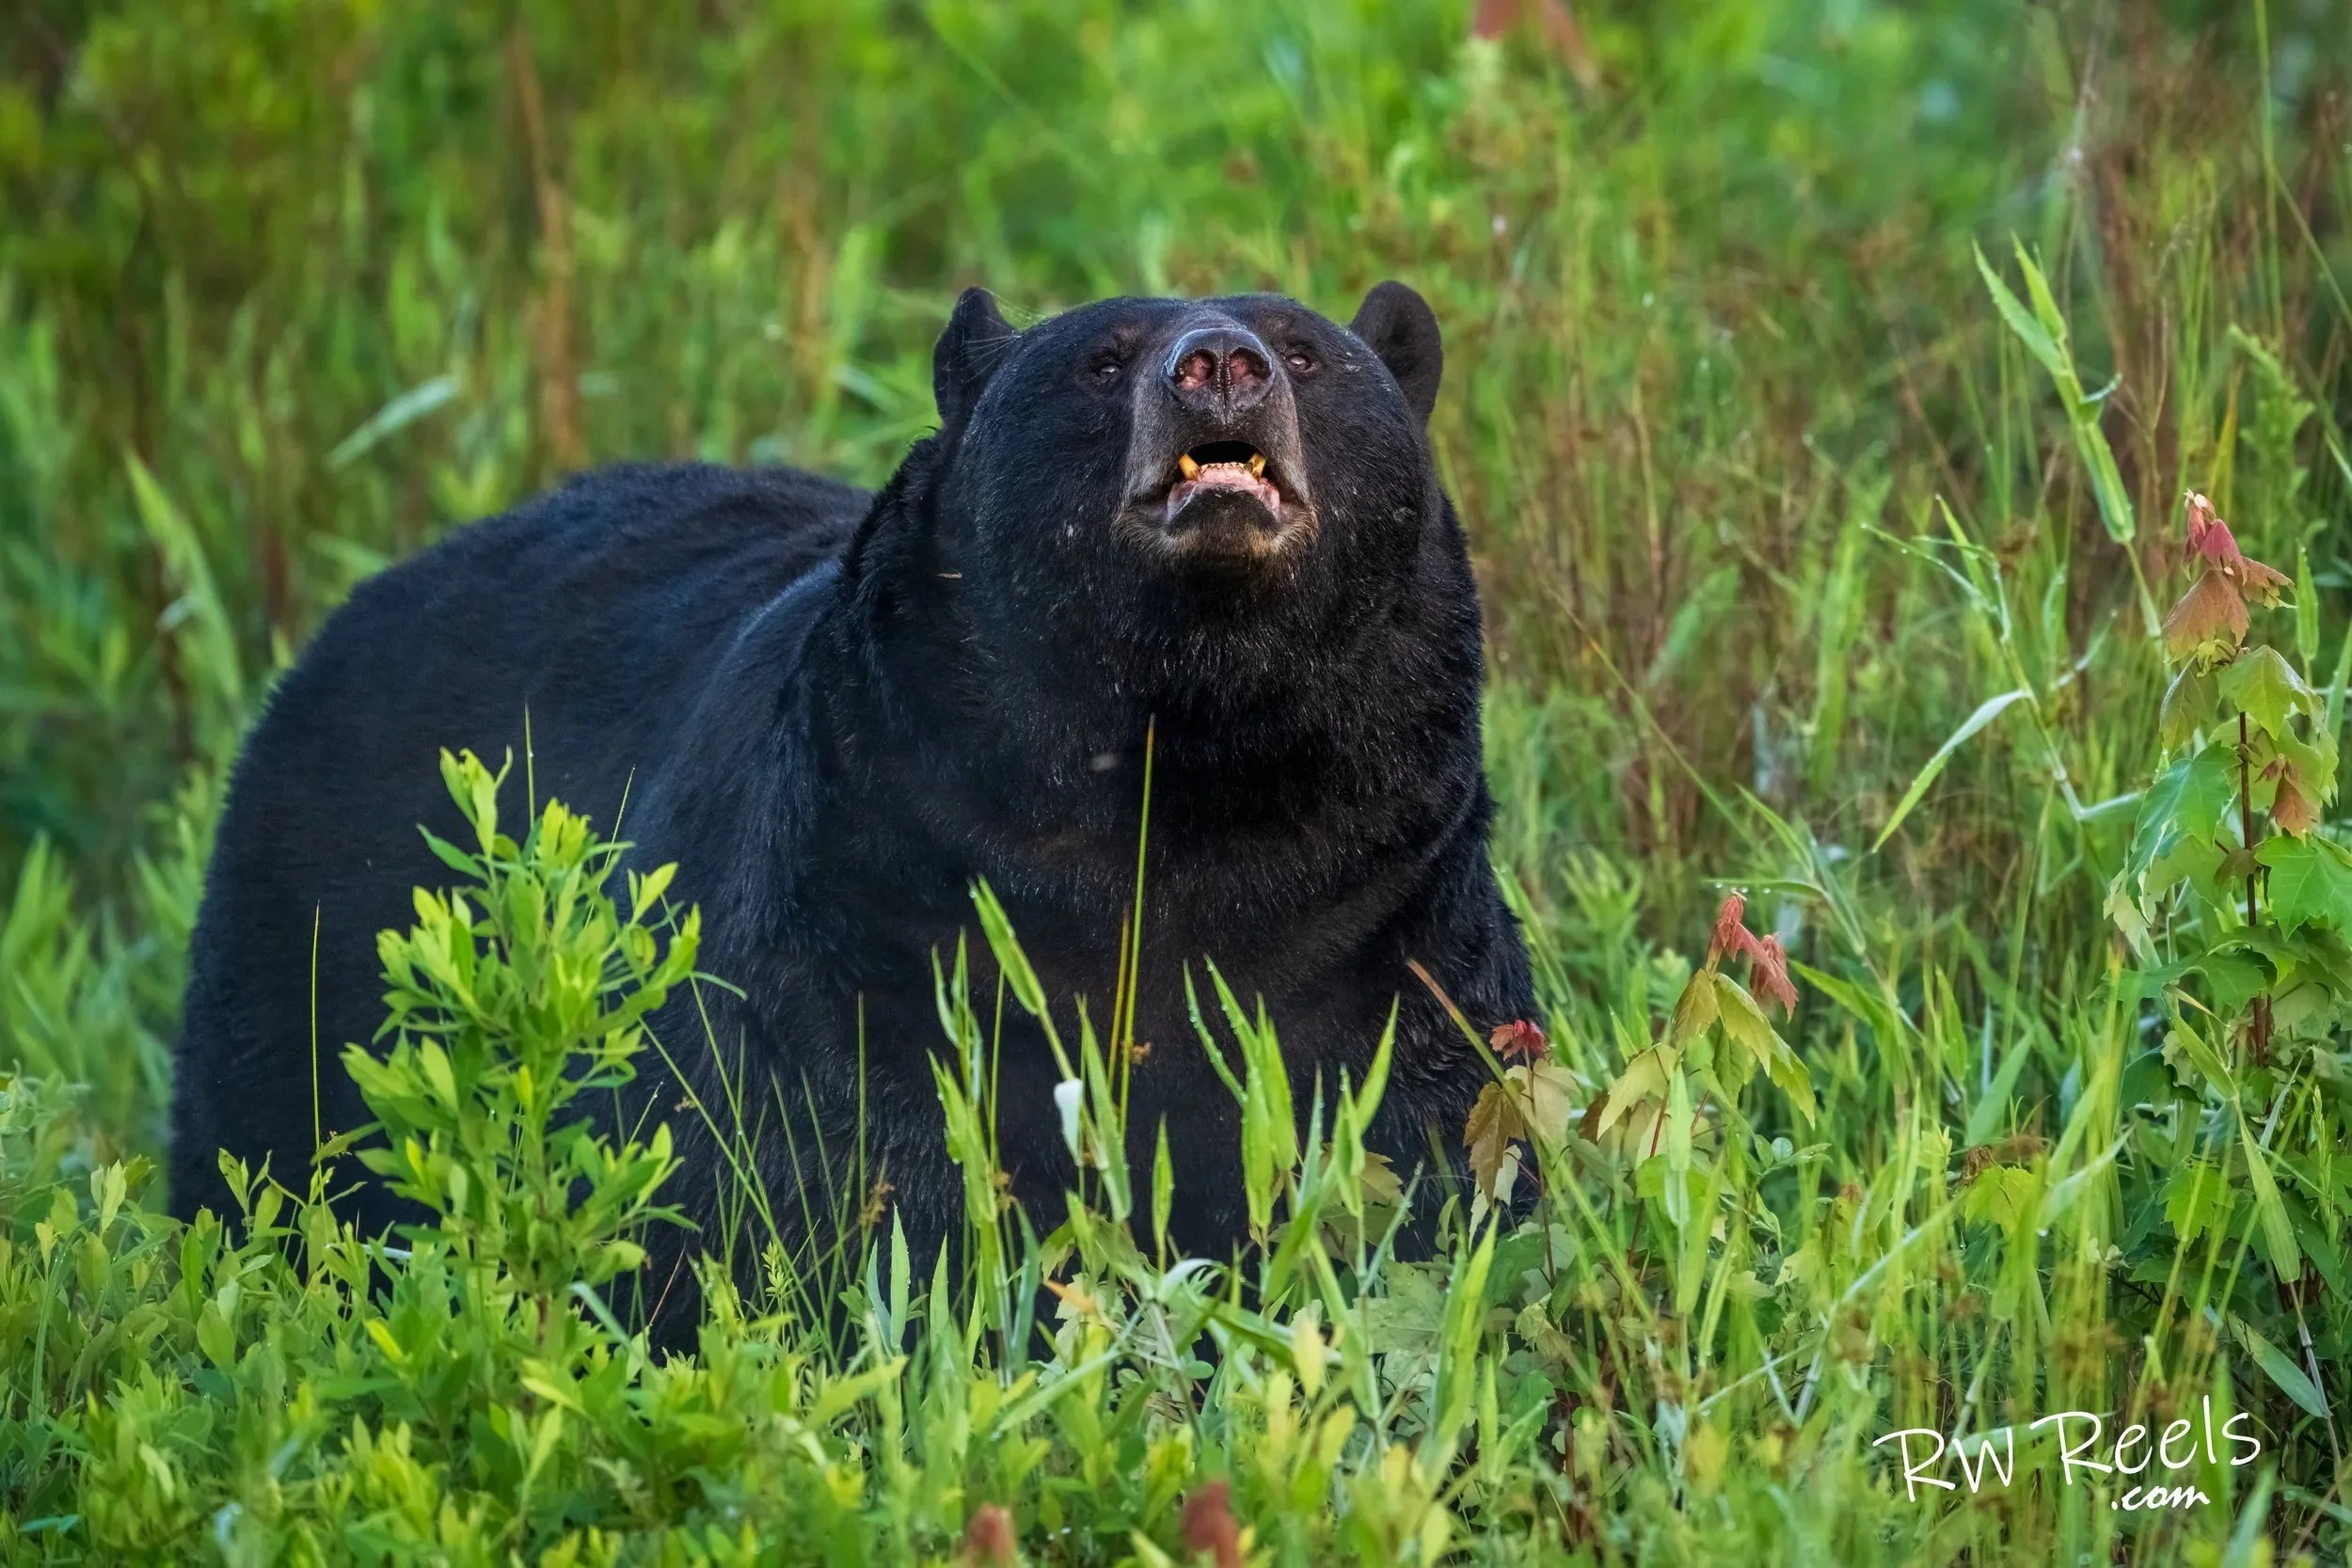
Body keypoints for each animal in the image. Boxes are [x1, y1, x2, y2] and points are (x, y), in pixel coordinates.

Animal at [169, 282, 1537, 1339]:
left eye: (1305, 348)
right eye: (1102, 356)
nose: (1219, 367)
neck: (1191, 755)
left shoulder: (1377, 903)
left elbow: (1444, 1132)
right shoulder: (874, 894)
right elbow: (847, 1161)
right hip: (319, 951)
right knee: (261, 1155)